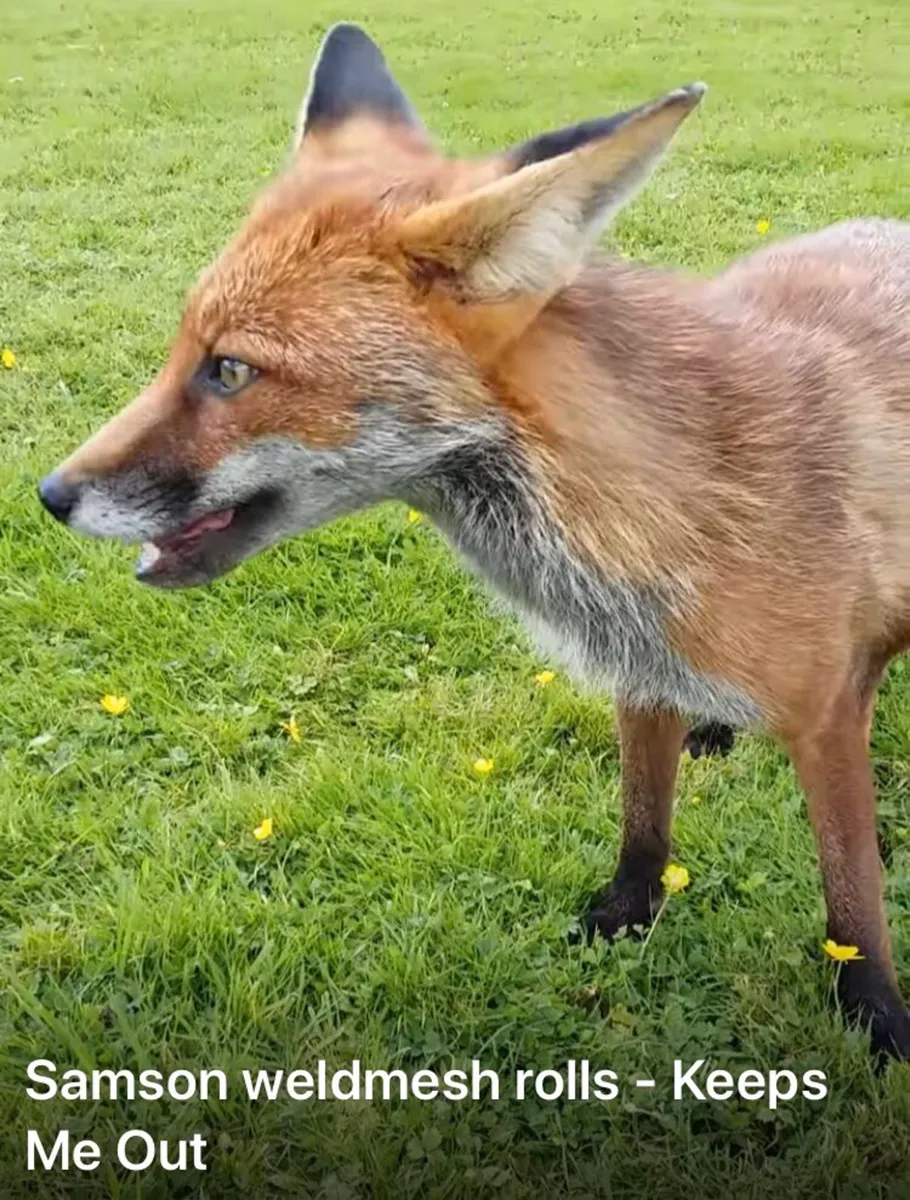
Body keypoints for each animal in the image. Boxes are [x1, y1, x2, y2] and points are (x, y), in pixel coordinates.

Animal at [37, 25, 910, 1060]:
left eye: (231, 371)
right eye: (184, 350)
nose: (49, 495)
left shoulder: (824, 720)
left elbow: (852, 900)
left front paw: (878, 1021)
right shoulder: (638, 675)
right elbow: (643, 826)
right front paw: (625, 916)